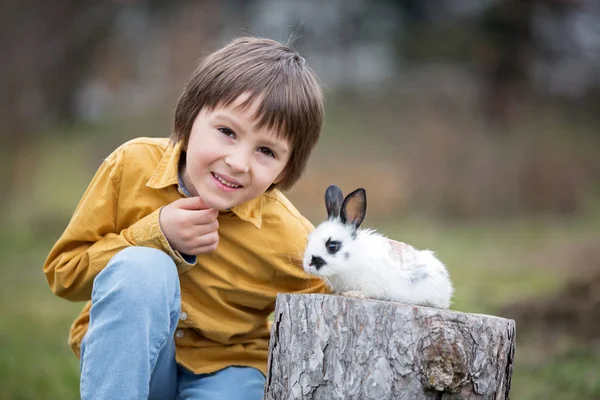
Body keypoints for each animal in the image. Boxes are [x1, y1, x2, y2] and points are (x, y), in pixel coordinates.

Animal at [302, 184, 452, 310]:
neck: (352, 259)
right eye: (309, 240)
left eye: (332, 246)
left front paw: (353, 294)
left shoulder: (372, 283)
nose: (308, 264)